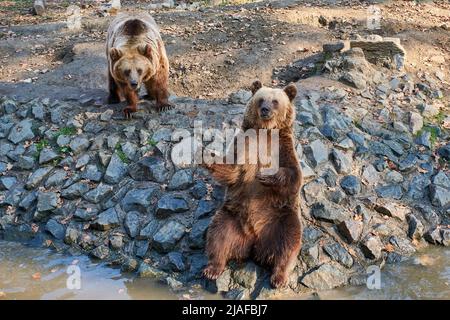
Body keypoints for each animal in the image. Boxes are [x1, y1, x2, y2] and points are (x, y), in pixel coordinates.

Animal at [203, 81, 302, 288]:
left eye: (275, 101)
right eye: (261, 99)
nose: (265, 109)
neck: (265, 131)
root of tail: (254, 242)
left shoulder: (283, 148)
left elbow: (294, 176)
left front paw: (266, 176)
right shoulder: (244, 144)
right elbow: (231, 169)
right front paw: (205, 155)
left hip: (281, 218)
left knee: (289, 243)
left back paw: (279, 277)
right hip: (231, 217)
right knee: (218, 236)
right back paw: (212, 269)